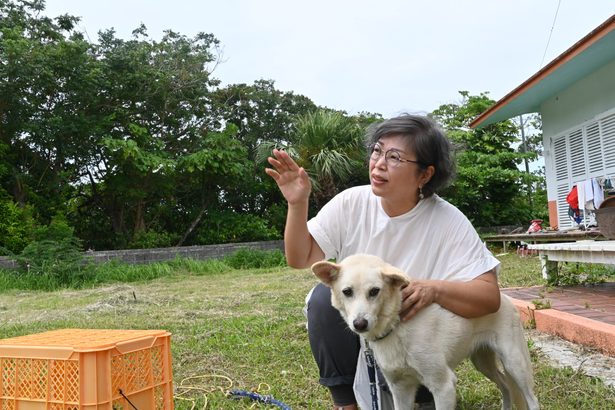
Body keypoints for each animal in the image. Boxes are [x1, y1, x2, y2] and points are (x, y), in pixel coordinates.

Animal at [312, 253, 540, 410]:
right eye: (347, 292)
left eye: (374, 291)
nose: (360, 324)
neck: (397, 325)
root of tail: (505, 298)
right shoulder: (400, 389)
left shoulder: (443, 385)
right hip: (482, 361)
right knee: (505, 385)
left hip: (515, 363)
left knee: (531, 398)